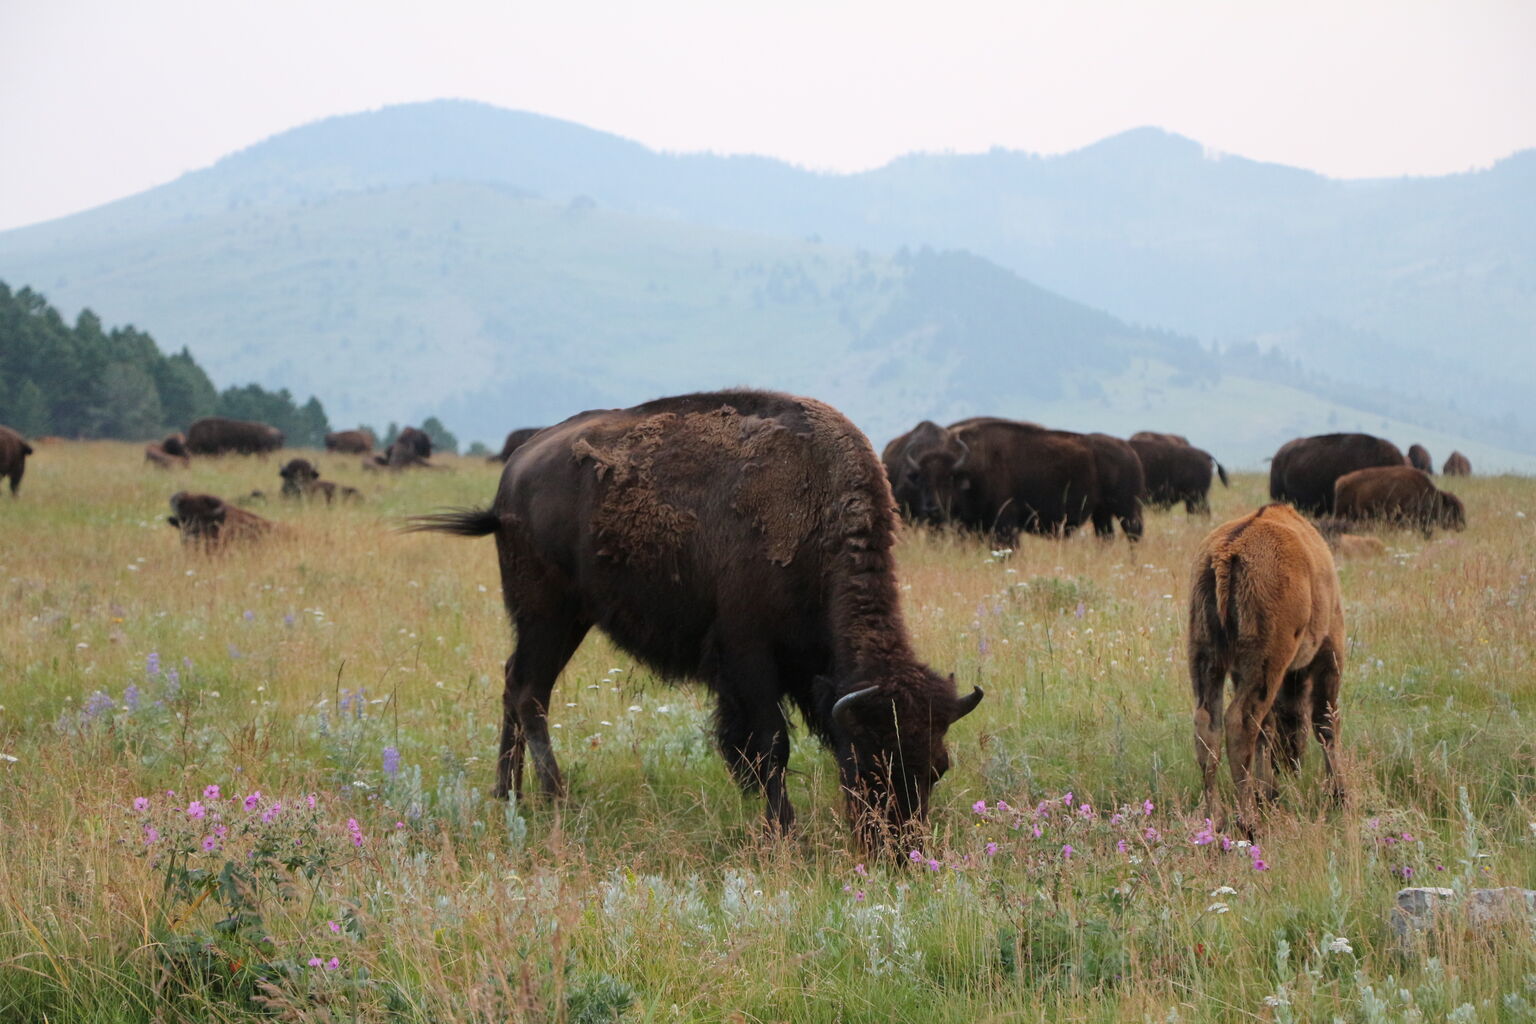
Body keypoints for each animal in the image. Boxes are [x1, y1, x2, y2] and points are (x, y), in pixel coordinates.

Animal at [408, 388, 983, 847]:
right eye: (868, 765)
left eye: (937, 768)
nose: (900, 850)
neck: (816, 517)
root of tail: (515, 471)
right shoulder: (749, 658)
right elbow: (769, 745)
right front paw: (785, 833)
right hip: (547, 614)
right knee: (528, 691)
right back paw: (556, 798)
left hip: (563, 621)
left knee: (517, 685)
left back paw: (509, 796)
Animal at [1185, 500, 1345, 835]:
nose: (1290, 766)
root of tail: (1227, 552)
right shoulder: (1329, 649)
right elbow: (1325, 722)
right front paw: (1340, 795)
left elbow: (1268, 729)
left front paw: (1268, 793)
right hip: (1266, 661)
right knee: (1241, 722)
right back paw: (1248, 823)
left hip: (1206, 657)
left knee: (1209, 725)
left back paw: (1216, 818)